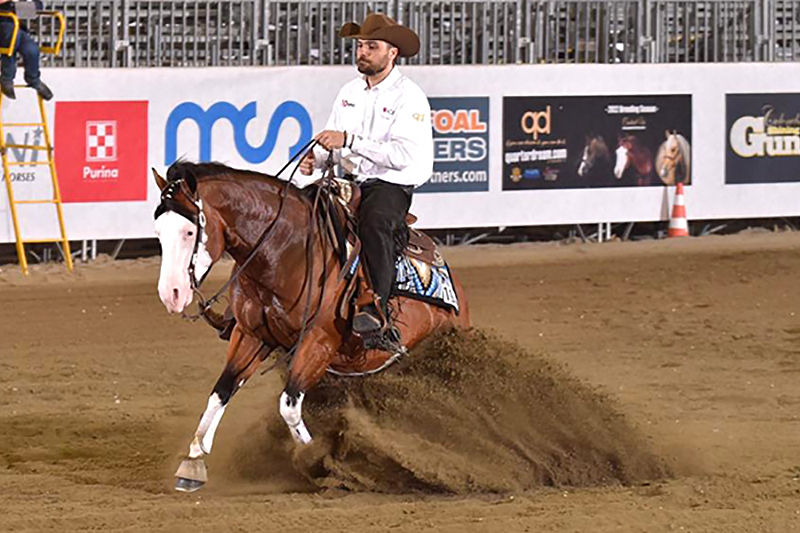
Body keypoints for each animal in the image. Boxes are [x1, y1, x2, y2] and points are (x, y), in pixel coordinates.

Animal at [152, 161, 468, 490]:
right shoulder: (251, 335)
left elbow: (289, 405)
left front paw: (319, 462)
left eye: (190, 231)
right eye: (158, 231)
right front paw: (192, 462)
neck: (284, 252)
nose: (171, 294)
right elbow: (221, 391)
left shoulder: (318, 342)